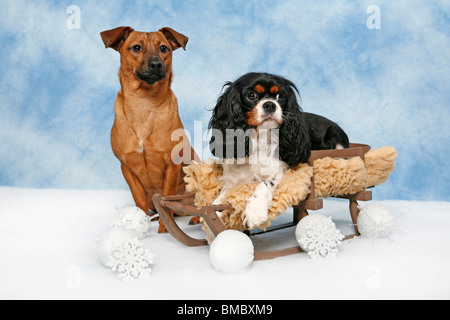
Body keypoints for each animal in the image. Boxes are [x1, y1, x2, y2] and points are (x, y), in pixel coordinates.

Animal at [102, 26, 200, 232]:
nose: (156, 64)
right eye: (136, 47)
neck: (144, 104)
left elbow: (166, 196)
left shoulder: (172, 165)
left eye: (164, 48)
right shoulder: (127, 168)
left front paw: (165, 228)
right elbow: (138, 199)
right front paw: (140, 223)